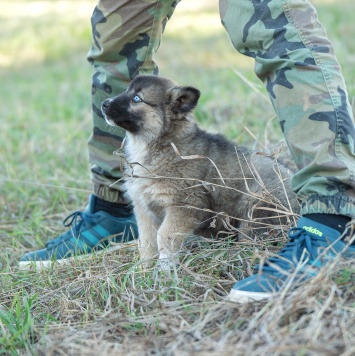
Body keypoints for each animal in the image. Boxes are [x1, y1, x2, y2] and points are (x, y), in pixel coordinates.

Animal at [101, 75, 298, 264]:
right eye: (126, 90)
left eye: (136, 98)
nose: (104, 103)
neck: (159, 144)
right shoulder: (143, 209)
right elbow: (147, 243)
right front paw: (144, 269)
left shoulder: (184, 206)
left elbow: (164, 236)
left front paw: (166, 268)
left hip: (256, 206)